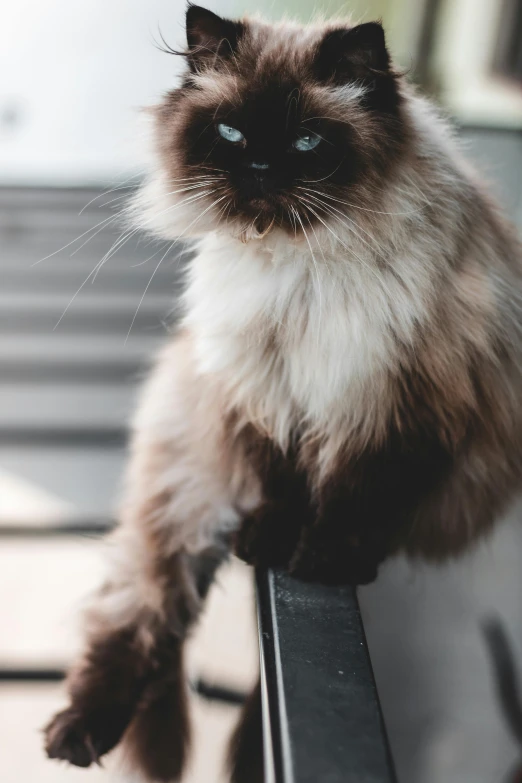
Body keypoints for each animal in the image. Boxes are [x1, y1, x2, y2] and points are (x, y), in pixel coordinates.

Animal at [45, 6, 522, 783]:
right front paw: (272, 543)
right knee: (144, 622)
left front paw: (322, 560)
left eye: (306, 142)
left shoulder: (395, 408)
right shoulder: (264, 392)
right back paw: (75, 738)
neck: (297, 272)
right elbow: (281, 486)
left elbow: (355, 498)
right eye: (232, 135)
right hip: (186, 495)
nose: (261, 170)